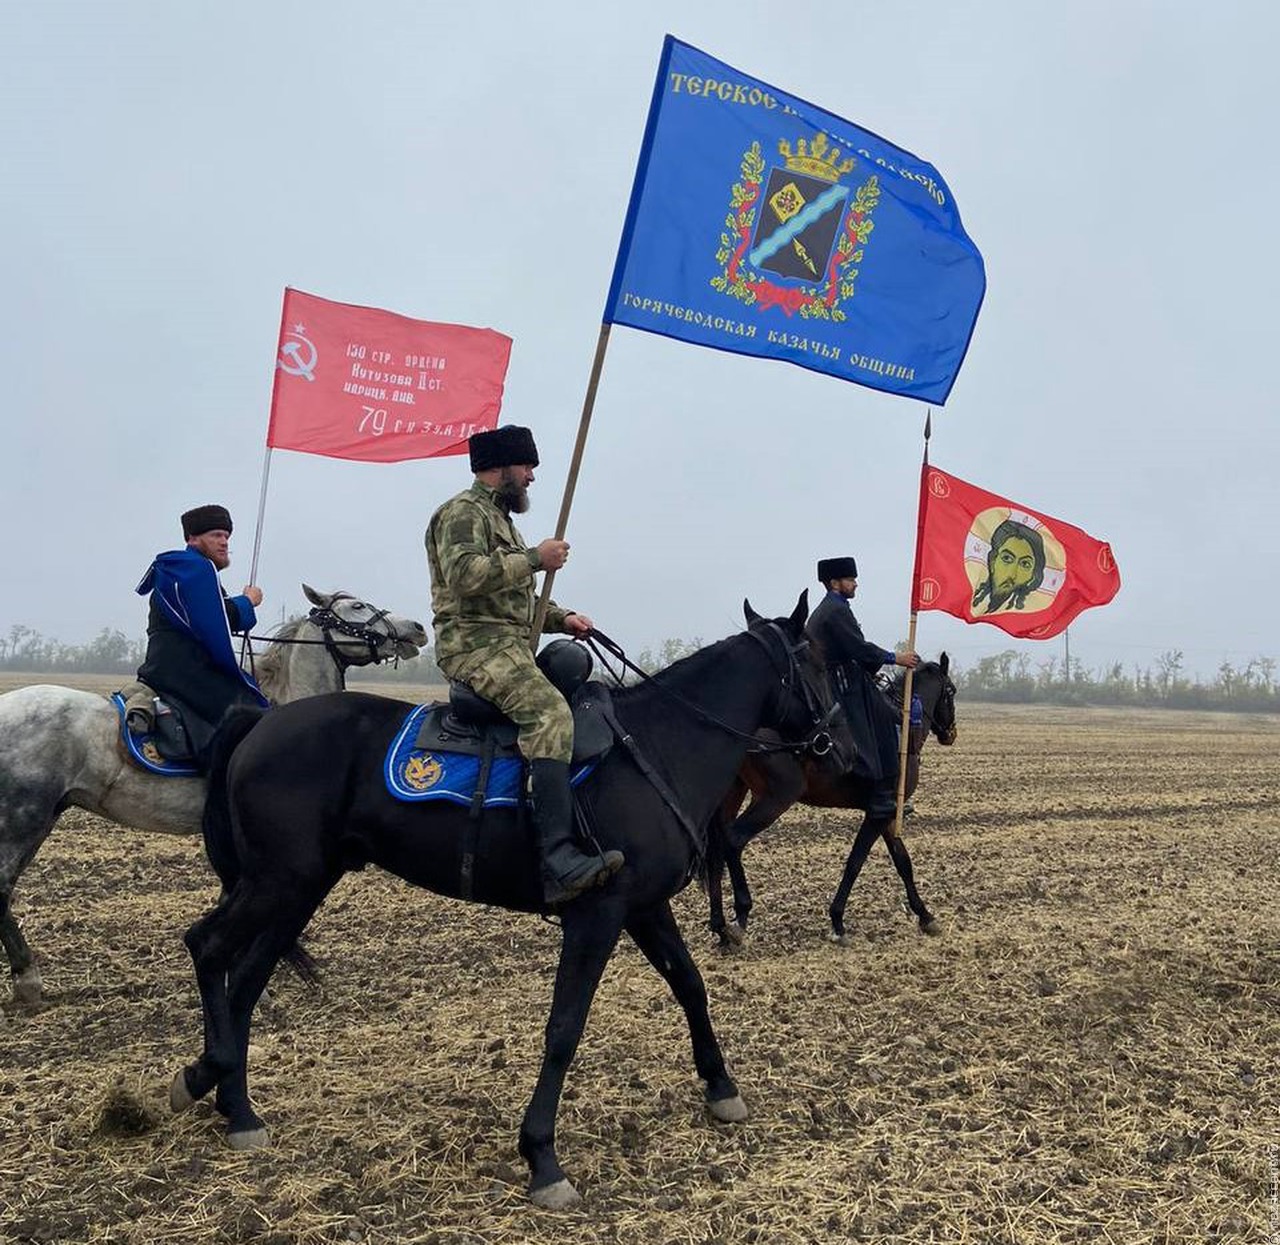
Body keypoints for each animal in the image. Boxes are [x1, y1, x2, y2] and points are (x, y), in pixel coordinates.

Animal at [167, 598, 829, 1207]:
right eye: (818, 658)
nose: (829, 738)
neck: (659, 746)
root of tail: (260, 722)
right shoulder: (597, 915)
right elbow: (564, 1026)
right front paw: (542, 1157)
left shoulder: (643, 908)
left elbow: (690, 984)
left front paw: (721, 1087)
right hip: (277, 882)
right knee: (208, 947)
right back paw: (204, 1075)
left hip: (298, 887)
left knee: (245, 979)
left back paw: (238, 1108)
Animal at [706, 655, 957, 936]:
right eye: (951, 691)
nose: (951, 733)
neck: (903, 727)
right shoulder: (877, 814)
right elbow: (855, 861)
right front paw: (837, 919)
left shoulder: (886, 813)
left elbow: (903, 861)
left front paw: (925, 916)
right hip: (774, 799)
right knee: (734, 840)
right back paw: (741, 913)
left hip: (733, 793)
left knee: (716, 848)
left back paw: (719, 925)